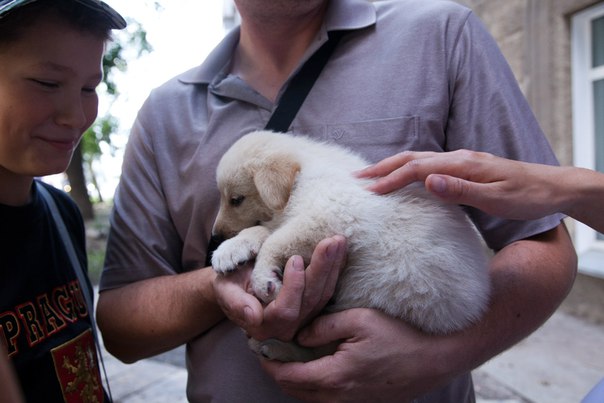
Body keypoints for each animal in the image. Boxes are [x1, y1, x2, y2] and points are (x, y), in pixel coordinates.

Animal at [210, 130, 488, 362]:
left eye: (236, 199)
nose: (215, 236)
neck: (301, 176)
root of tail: (473, 306)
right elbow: (261, 231)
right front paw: (231, 249)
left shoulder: (331, 215)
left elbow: (274, 240)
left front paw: (263, 278)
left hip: (376, 291)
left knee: (322, 351)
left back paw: (278, 348)